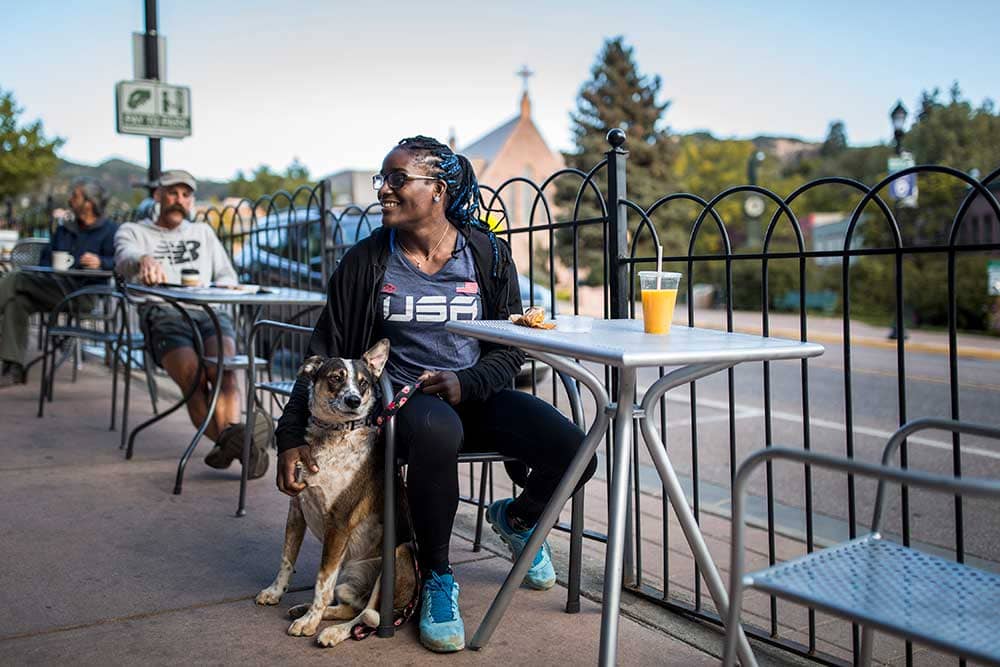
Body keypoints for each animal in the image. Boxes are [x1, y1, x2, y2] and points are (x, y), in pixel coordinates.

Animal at [258, 340, 418, 648]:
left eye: (363, 383)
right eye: (335, 378)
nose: (353, 400)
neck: (333, 437)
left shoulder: (339, 522)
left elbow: (322, 580)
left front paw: (309, 622)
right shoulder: (297, 510)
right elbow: (287, 558)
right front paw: (275, 592)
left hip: (397, 556)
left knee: (368, 615)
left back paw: (331, 631)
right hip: (349, 576)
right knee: (353, 606)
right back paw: (306, 610)